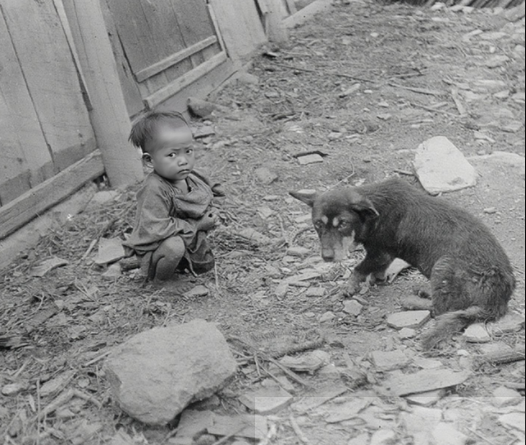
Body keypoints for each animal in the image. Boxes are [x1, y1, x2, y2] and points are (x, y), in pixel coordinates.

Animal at [292, 176, 520, 346]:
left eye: (343, 224)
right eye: (318, 225)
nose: (327, 257)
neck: (374, 212)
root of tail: (499, 301)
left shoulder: (380, 253)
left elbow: (357, 269)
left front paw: (350, 286)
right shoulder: (381, 255)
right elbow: (375, 270)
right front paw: (375, 279)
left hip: (443, 264)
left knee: (441, 310)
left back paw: (413, 301)